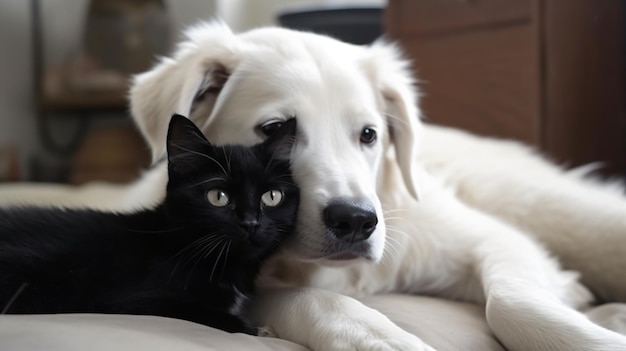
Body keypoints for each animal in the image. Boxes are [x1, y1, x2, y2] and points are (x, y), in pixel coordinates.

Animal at [0, 115, 300, 336]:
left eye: (272, 197)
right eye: (218, 197)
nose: (251, 222)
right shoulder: (131, 300)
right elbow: (198, 311)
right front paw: (256, 329)